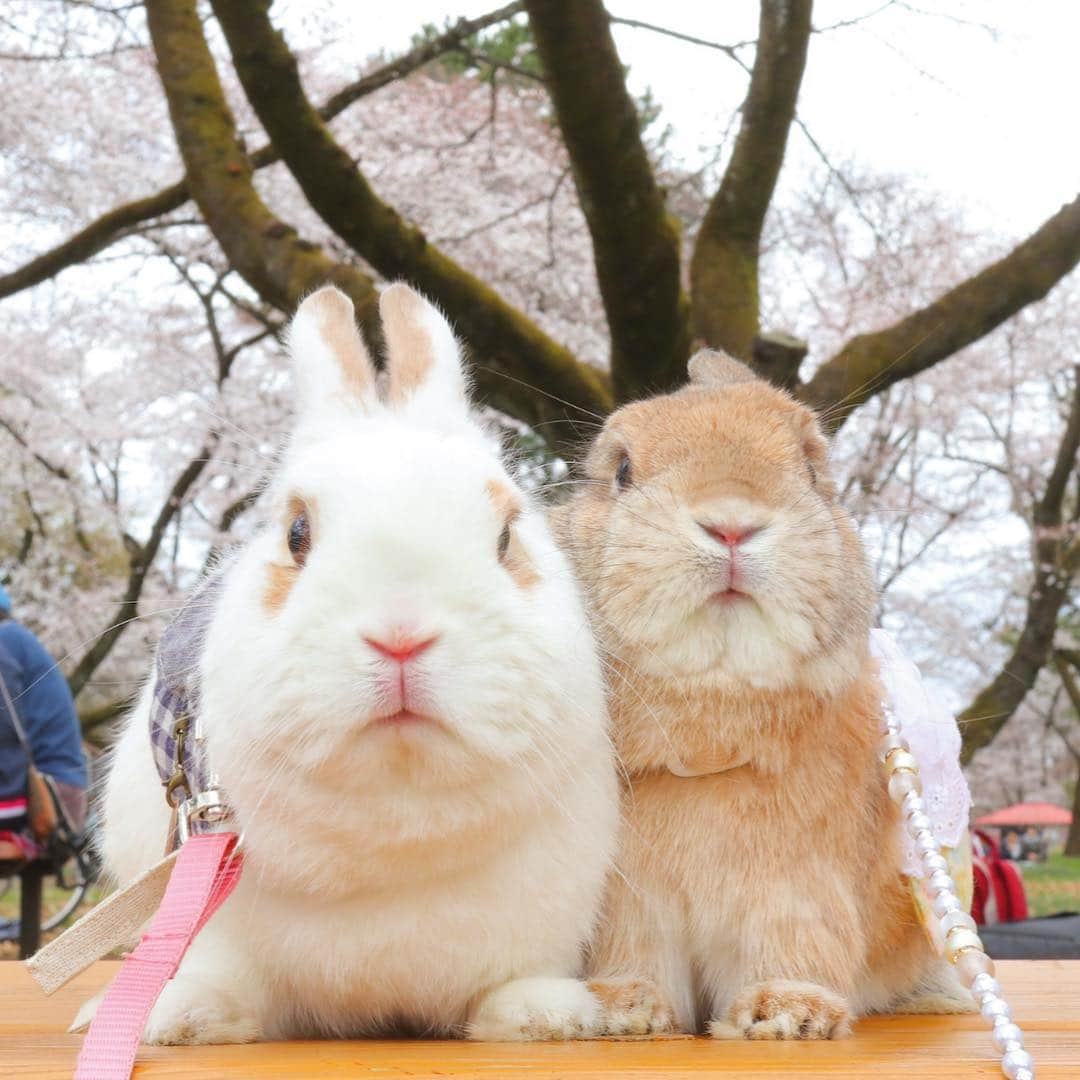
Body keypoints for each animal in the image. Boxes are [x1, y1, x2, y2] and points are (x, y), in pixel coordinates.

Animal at [84, 282, 617, 1041]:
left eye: (506, 537)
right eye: (296, 533)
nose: (400, 636)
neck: (396, 823)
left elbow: (516, 978)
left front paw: (546, 1016)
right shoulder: (211, 909)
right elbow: (224, 979)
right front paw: (179, 1019)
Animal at [557, 352, 972, 1036]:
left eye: (809, 468)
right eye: (621, 470)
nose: (730, 523)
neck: (709, 745)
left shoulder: (798, 890)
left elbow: (796, 944)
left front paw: (786, 1013)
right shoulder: (634, 907)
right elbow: (638, 957)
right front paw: (625, 1007)